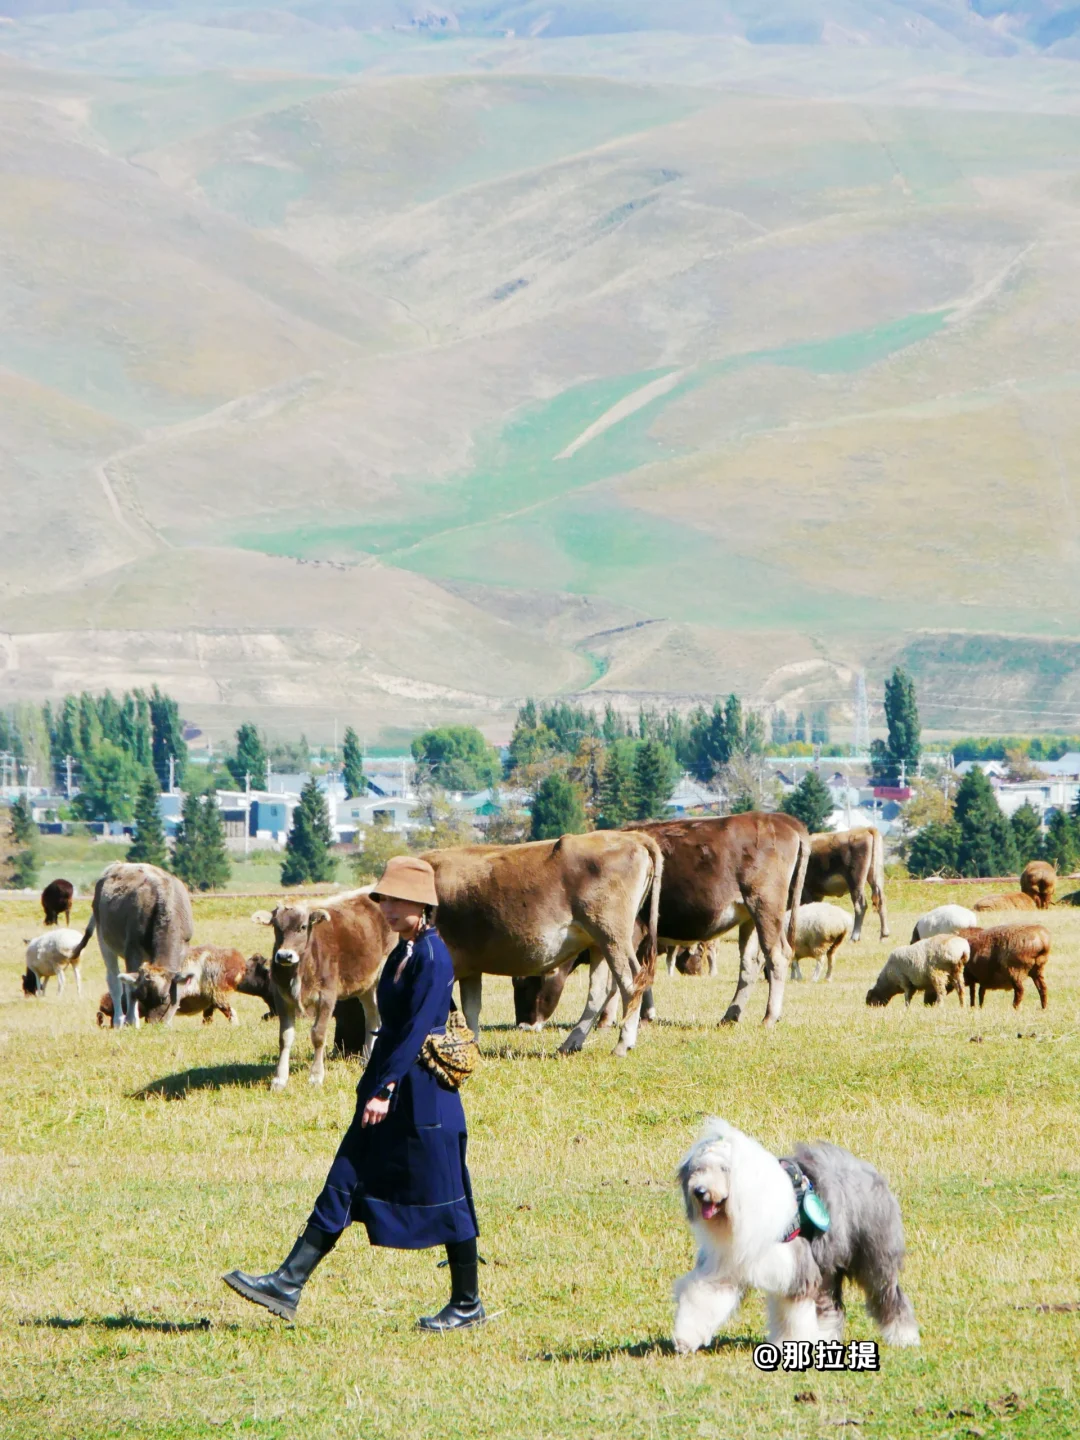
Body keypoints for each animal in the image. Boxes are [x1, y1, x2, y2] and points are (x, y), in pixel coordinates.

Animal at [72, 862, 193, 1027]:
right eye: (141, 997)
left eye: (164, 998)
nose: (153, 1025)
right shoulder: (132, 949)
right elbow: (129, 987)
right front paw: (131, 1020)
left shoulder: (183, 949)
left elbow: (179, 987)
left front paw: (168, 1021)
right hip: (103, 936)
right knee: (114, 980)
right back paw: (118, 1020)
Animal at [252, 891, 395, 1090]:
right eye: (276, 926)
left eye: (303, 927)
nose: (284, 956)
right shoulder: (282, 998)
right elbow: (284, 1037)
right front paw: (279, 1079)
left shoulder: (326, 996)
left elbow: (318, 1035)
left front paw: (316, 1076)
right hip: (367, 984)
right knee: (373, 1018)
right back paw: (366, 1060)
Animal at [423, 831, 663, 1057]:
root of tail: (631, 837)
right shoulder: (471, 967)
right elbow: (471, 1009)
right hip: (599, 943)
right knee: (600, 992)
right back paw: (571, 1043)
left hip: (612, 935)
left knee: (631, 982)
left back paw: (622, 1044)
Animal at [673, 1119, 919, 1354]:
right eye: (698, 1169)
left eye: (724, 1168)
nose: (700, 1191)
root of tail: (866, 1168)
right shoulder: (727, 1264)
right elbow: (704, 1297)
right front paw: (685, 1339)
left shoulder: (797, 1266)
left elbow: (793, 1314)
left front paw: (790, 1344)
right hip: (828, 1263)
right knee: (830, 1305)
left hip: (873, 1256)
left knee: (888, 1295)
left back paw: (904, 1336)